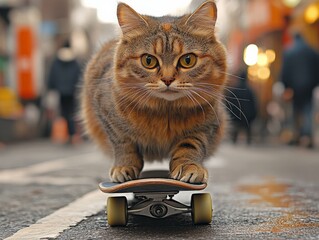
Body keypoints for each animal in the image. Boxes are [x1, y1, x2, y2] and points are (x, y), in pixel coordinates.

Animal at [81, 0, 229, 184]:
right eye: (148, 60)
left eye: (188, 60)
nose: (167, 79)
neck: (164, 112)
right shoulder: (105, 113)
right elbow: (123, 143)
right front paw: (124, 166)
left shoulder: (207, 124)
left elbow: (191, 146)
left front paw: (189, 166)